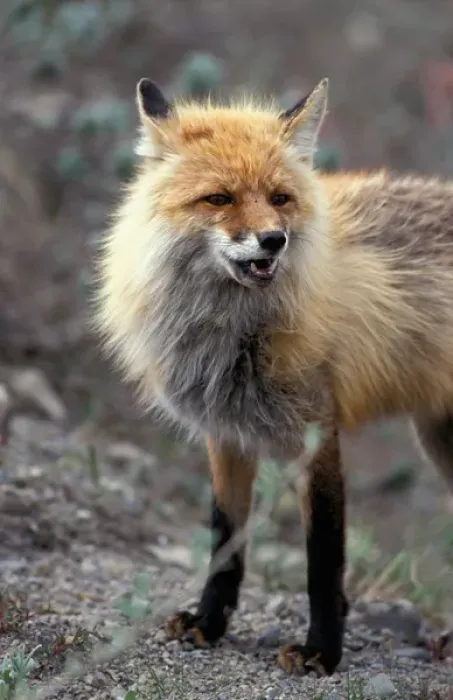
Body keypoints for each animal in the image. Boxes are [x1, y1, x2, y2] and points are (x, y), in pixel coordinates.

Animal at [94, 76, 453, 676]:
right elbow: (225, 542)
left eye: (280, 199)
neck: (236, 335)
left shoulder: (317, 433)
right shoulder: (225, 432)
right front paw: (208, 624)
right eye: (219, 198)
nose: (272, 240)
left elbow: (323, 560)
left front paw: (322, 651)